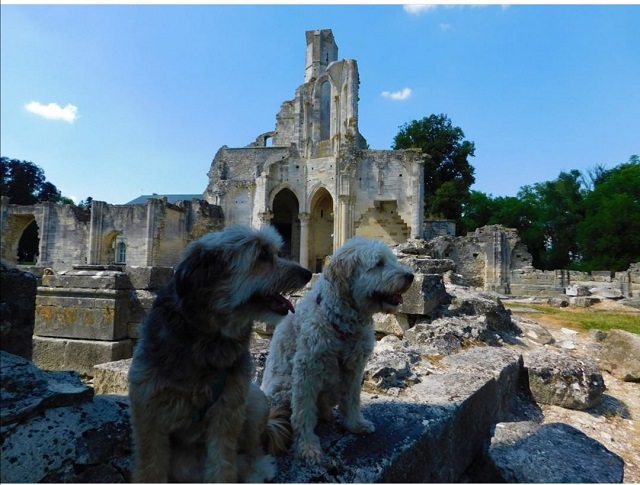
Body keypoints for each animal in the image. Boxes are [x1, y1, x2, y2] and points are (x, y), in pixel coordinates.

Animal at [128, 223, 312, 480]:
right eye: (262, 255)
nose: (308, 273)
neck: (208, 339)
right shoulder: (147, 409)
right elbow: (150, 467)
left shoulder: (227, 409)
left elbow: (222, 463)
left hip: (255, 399)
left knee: (255, 451)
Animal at [260, 236, 416, 464]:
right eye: (378, 263)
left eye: (393, 260)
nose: (410, 276)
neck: (341, 321)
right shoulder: (306, 370)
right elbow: (302, 412)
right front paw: (307, 447)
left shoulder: (354, 368)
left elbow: (352, 399)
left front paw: (355, 424)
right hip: (285, 386)